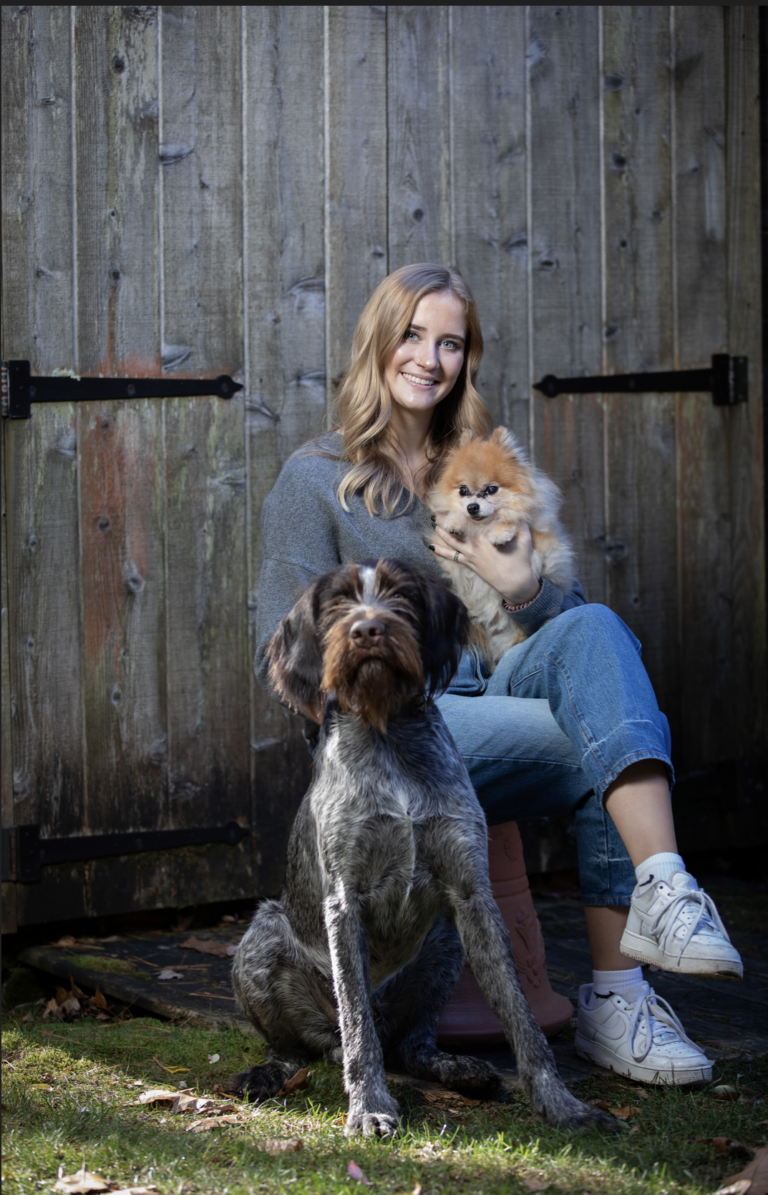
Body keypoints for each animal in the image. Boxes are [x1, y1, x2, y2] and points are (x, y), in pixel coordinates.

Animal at [231, 559, 609, 1137]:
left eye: (401, 597)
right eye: (338, 603)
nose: (368, 630)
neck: (388, 732)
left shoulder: (472, 896)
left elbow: (521, 1015)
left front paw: (560, 1103)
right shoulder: (344, 902)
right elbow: (357, 1021)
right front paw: (369, 1106)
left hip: (445, 945)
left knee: (413, 1045)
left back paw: (458, 1069)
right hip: (261, 938)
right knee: (309, 1046)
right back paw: (273, 1071)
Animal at [429, 427, 573, 669]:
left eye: (491, 489)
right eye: (463, 491)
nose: (472, 507)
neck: (481, 526)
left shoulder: (541, 538)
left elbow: (510, 518)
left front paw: (500, 532)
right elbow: (454, 517)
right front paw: (455, 522)